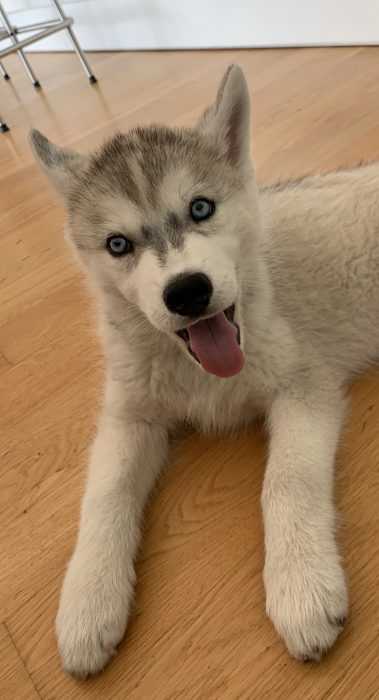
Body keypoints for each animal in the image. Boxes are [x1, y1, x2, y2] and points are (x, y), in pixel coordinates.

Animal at [30, 67, 379, 680]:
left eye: (200, 208)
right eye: (117, 244)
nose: (188, 292)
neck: (199, 374)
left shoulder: (305, 387)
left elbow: (285, 480)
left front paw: (301, 586)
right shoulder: (129, 417)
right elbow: (104, 496)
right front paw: (88, 602)